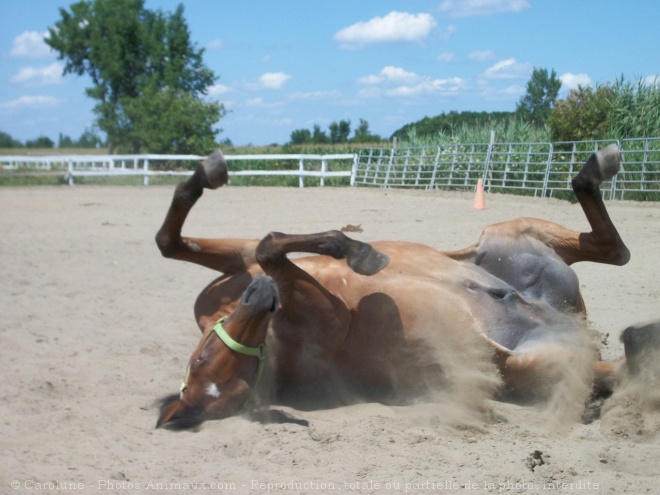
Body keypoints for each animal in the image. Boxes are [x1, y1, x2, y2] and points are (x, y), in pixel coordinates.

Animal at [155, 144, 644, 430]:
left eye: (201, 356)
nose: (262, 297)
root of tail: (572, 323)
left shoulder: (239, 260)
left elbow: (177, 241)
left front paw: (207, 172)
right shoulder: (325, 311)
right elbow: (271, 245)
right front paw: (357, 250)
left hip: (508, 235)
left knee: (613, 251)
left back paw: (597, 165)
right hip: (540, 357)